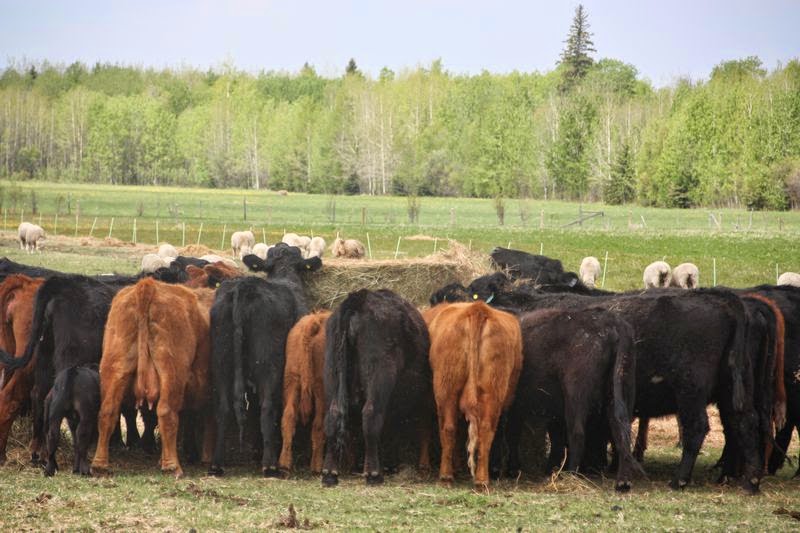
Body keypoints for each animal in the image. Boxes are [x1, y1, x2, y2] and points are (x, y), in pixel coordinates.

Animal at [91, 278, 216, 478]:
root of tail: (148, 286)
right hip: (171, 373)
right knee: (166, 413)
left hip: (115, 366)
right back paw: (172, 466)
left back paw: (99, 464)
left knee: (107, 411)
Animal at [208, 244, 322, 477]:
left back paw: (217, 464)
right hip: (268, 365)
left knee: (223, 408)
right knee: (267, 406)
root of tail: (243, 287)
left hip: (221, 361)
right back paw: (270, 465)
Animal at [278, 310, 332, 473]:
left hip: (292, 380)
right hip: (322, 391)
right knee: (319, 424)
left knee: (288, 417)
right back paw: (317, 466)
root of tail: (314, 321)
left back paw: (284, 464)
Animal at [321, 289, 433, 486]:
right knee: (371, 416)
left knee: (333, 416)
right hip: (380, 374)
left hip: (332, 372)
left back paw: (329, 473)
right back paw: (373, 474)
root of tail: (360, 298)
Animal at [423, 302, 522, 488]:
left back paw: (446, 475)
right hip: (493, 390)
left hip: (446, 388)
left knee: (448, 428)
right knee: (485, 429)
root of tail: (477, 308)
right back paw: (481, 480)